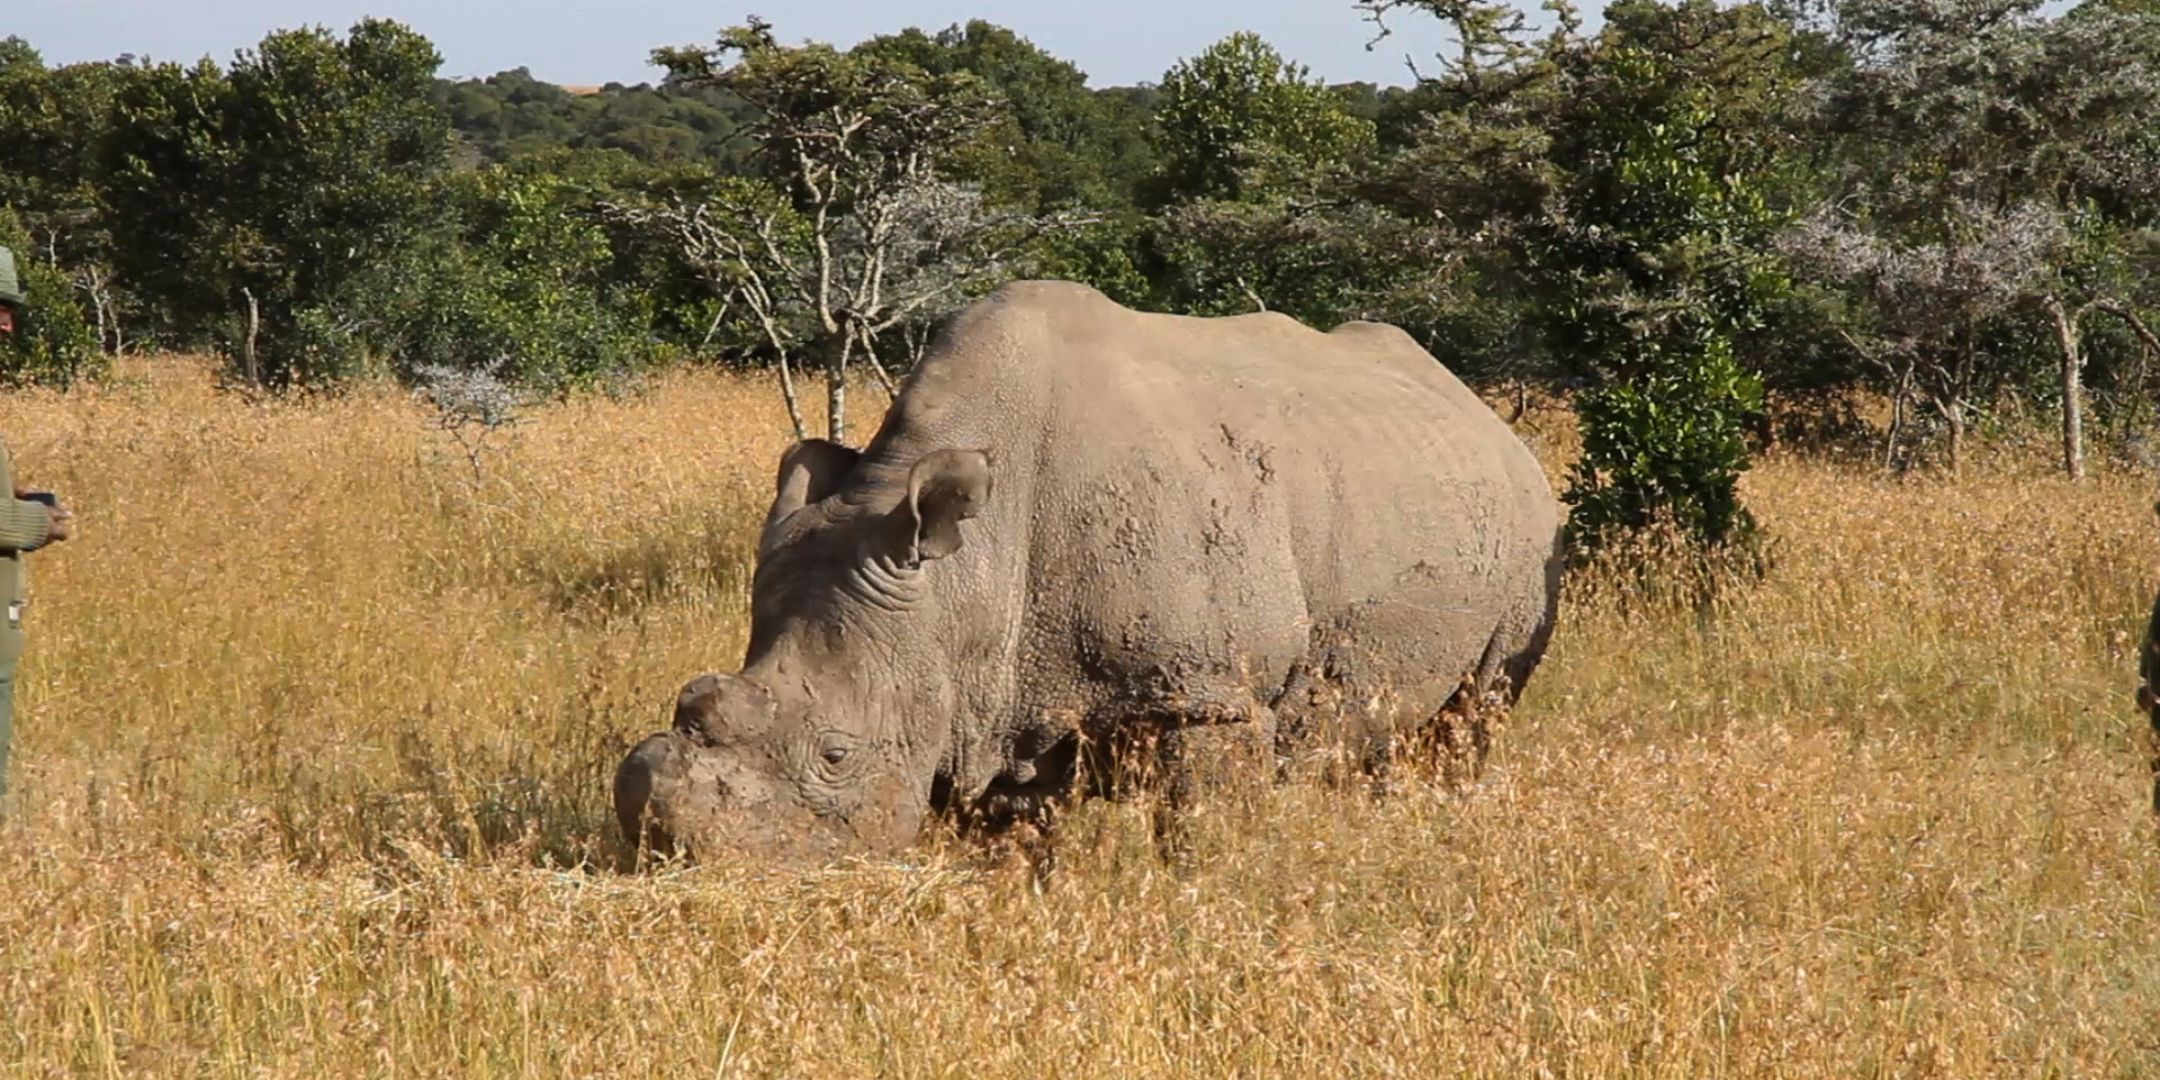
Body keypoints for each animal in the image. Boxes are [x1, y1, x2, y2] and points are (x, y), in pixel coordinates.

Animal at [614, 281, 1563, 861]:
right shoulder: (991, 693)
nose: (676, 857)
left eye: (837, 755)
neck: (970, 576)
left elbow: (1199, 833)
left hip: (1530, 525)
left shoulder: (1210, 691)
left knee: (1476, 709)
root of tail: (1479, 410)